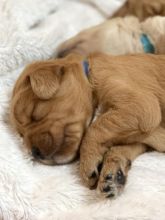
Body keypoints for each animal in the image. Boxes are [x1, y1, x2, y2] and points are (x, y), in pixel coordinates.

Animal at [11, 52, 165, 198]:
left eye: (34, 113)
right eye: (21, 134)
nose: (35, 153)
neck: (89, 77)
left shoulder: (141, 105)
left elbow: (95, 128)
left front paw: (87, 162)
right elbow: (123, 146)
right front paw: (113, 174)